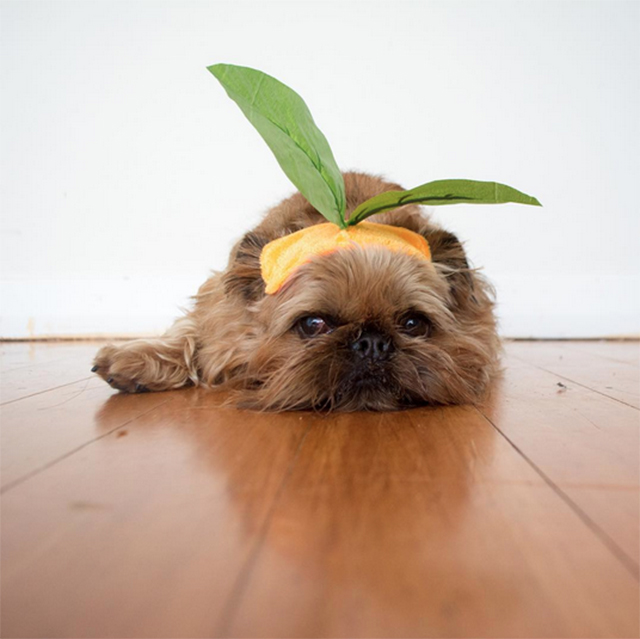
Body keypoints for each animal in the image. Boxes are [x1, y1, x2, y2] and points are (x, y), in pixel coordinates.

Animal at [92, 171, 500, 410]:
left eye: (413, 324)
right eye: (313, 324)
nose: (372, 343)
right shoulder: (218, 310)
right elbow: (191, 334)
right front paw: (137, 359)